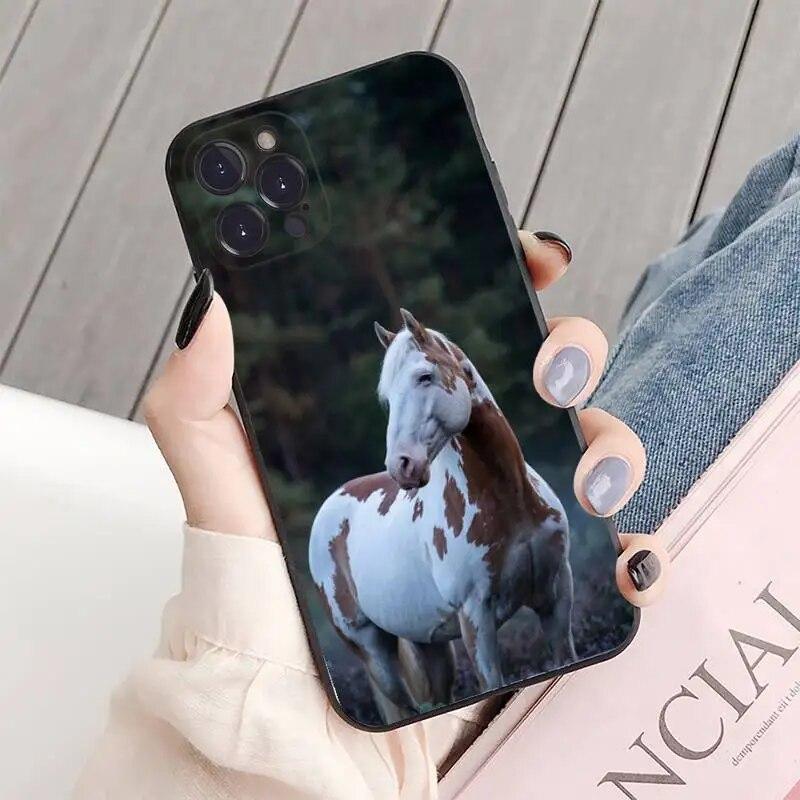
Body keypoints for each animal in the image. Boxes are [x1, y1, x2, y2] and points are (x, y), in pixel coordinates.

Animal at [308, 309, 576, 723]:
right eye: (387, 397)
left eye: (424, 376)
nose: (401, 466)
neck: (510, 502)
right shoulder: (475, 617)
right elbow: (492, 682)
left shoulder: (556, 591)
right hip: (370, 647)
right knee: (407, 706)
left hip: (429, 645)